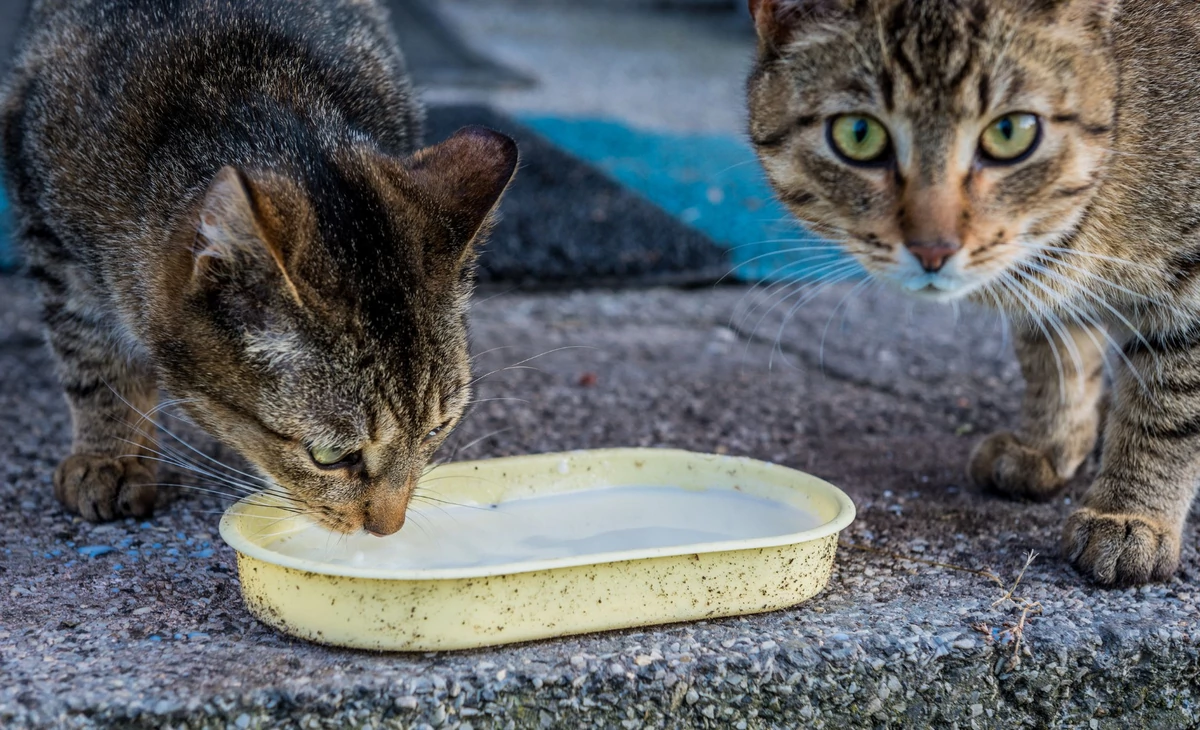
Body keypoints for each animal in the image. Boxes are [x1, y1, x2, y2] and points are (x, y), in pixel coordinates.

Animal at [1, 0, 516, 535]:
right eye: (328, 455)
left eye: (437, 429)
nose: (387, 529)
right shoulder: (49, 235)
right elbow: (92, 356)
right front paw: (111, 456)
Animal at [744, 0, 1200, 583]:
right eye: (859, 134)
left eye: (1010, 132)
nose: (933, 248)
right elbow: (1055, 355)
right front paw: (1049, 443)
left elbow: (1167, 405)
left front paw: (1129, 513)